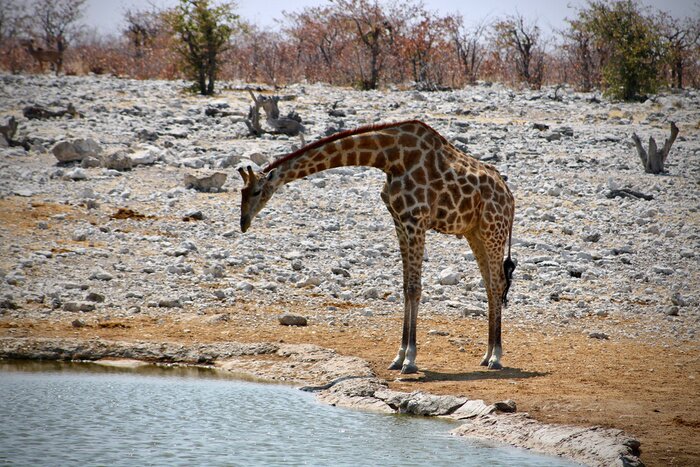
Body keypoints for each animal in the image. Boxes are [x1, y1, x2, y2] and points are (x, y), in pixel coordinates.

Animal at [238, 119, 515, 374]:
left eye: (257, 191)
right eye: (242, 192)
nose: (243, 222)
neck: (390, 158)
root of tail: (510, 198)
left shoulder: (415, 221)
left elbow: (414, 288)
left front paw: (410, 360)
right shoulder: (399, 222)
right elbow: (405, 288)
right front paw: (399, 356)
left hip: (493, 230)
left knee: (497, 283)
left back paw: (496, 356)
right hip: (474, 233)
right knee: (490, 285)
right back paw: (486, 355)